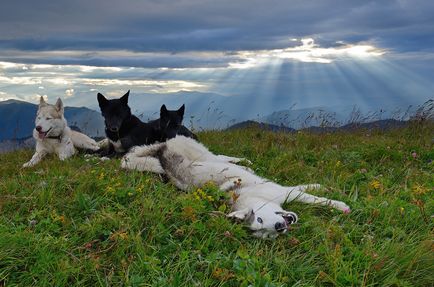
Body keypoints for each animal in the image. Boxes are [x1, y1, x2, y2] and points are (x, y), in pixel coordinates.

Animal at [121, 137, 350, 238]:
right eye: (266, 234)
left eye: (259, 219)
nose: (279, 227)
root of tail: (162, 149)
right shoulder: (285, 192)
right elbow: (308, 193)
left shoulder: (283, 190)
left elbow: (315, 195)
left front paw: (337, 201)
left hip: (205, 154)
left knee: (222, 156)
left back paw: (245, 162)